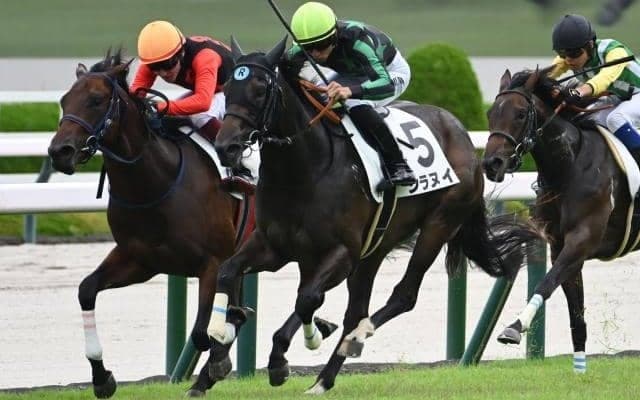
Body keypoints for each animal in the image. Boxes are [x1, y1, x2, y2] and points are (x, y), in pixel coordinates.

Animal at [47, 48, 252, 398]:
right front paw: (102, 378)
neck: (157, 183)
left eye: (96, 100)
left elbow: (202, 332)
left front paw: (218, 362)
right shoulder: (141, 259)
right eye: (63, 100)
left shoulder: (212, 262)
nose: (59, 151)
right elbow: (87, 290)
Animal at [208, 37, 539, 394]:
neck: (305, 170)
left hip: (438, 225)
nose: (226, 146)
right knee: (354, 310)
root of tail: (465, 139)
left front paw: (287, 355)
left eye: (259, 90)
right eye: (227, 88)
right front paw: (219, 345)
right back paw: (324, 378)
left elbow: (307, 298)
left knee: (401, 296)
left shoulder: (342, 252)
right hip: (376, 246)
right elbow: (229, 272)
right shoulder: (273, 246)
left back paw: (353, 341)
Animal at [483, 67, 637, 373]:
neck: (570, 165)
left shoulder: (582, 240)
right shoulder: (560, 245)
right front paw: (579, 368)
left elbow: (546, 283)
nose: (491, 164)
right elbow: (575, 311)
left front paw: (514, 327)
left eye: (520, 114)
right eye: (490, 113)